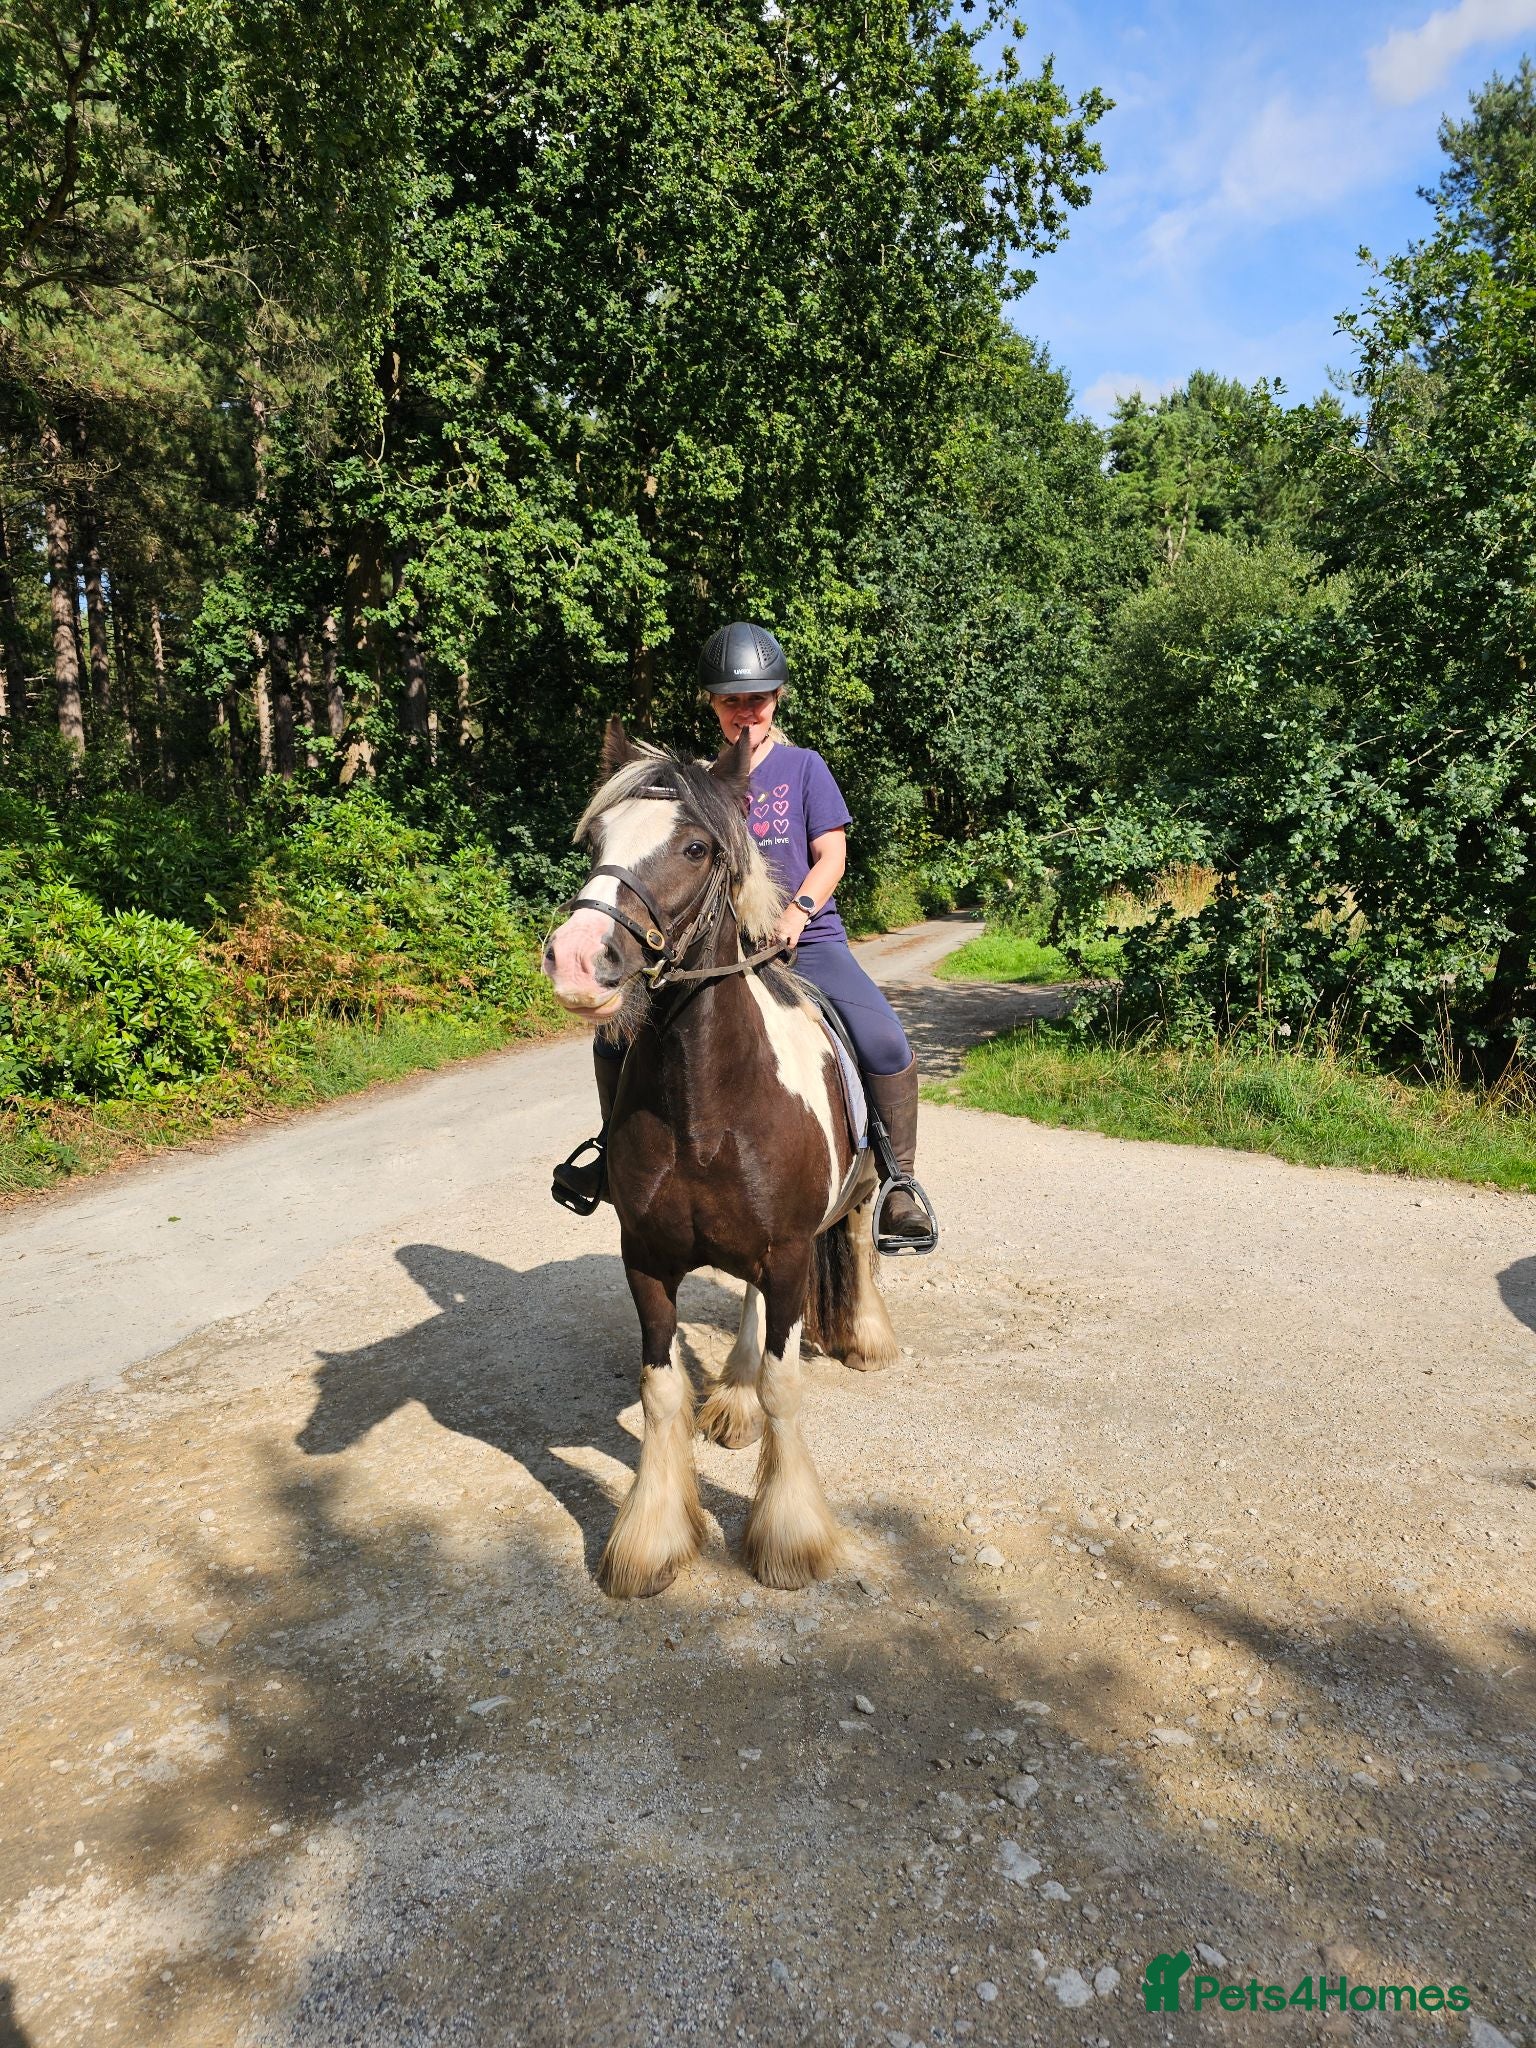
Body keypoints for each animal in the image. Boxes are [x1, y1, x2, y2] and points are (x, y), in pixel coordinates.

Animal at [542, 718, 900, 1597]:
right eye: (595, 839)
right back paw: (731, 1397)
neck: (704, 1102)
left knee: (858, 1244)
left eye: (697, 847)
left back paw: (866, 1337)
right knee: (749, 1309)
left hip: (856, 1195)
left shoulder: (788, 1250)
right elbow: (661, 1387)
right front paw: (653, 1537)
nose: (576, 958)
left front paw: (790, 1535)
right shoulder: (647, 1256)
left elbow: (784, 1383)